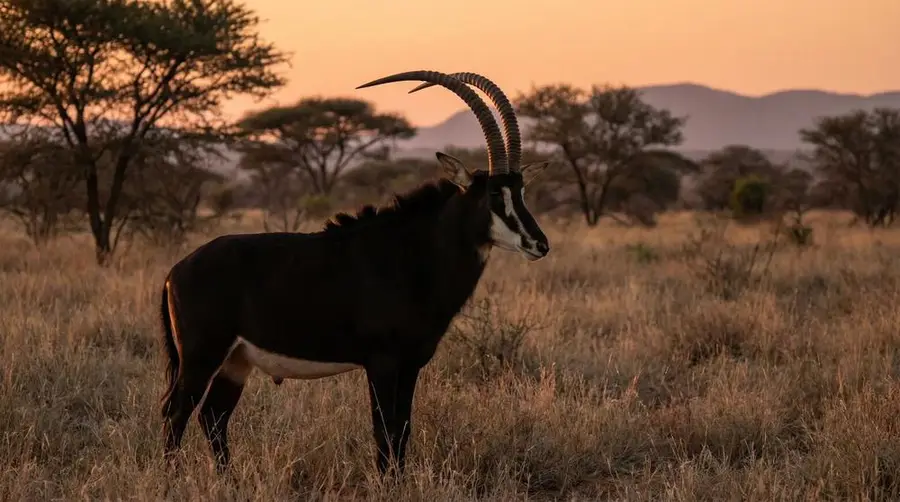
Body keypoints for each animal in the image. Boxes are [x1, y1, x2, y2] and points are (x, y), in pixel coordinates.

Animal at [158, 69, 551, 476]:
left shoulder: (411, 364)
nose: (539, 244)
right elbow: (384, 430)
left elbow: (402, 428)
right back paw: (172, 478)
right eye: (493, 195)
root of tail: (176, 271)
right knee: (178, 412)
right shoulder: (381, 362)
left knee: (212, 415)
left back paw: (229, 479)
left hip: (236, 362)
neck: (413, 253)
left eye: (521, 192)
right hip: (202, 356)